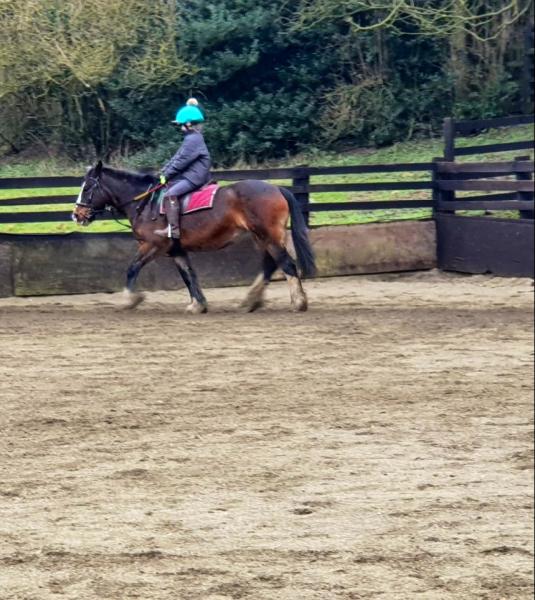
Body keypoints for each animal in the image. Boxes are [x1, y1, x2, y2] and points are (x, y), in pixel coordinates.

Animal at [70, 159, 314, 314]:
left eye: (88, 187)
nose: (76, 214)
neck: (146, 203)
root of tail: (277, 188)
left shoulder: (153, 245)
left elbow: (132, 268)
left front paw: (131, 299)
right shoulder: (176, 250)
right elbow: (188, 275)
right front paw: (198, 305)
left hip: (268, 237)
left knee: (286, 264)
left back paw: (298, 303)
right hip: (261, 238)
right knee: (270, 265)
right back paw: (251, 301)